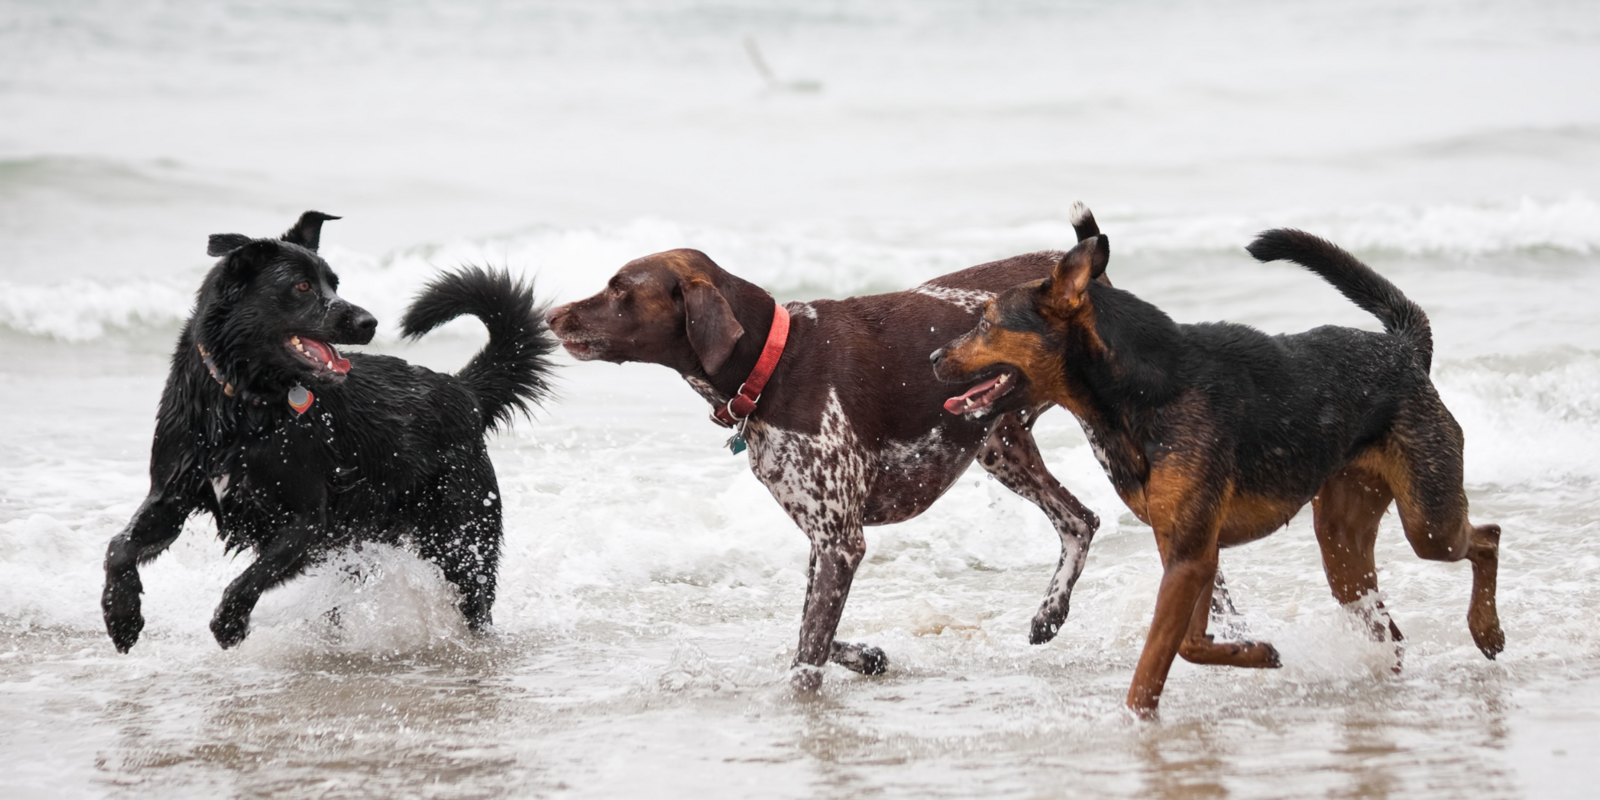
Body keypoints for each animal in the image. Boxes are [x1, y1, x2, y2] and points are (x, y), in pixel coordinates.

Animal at [103, 212, 556, 649]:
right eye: (302, 286)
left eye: (334, 284)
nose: (369, 321)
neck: (242, 403)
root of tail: (463, 390)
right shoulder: (171, 497)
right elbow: (118, 548)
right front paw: (121, 616)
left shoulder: (309, 523)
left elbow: (252, 576)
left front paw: (229, 623)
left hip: (462, 541)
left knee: (475, 599)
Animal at [550, 211, 1113, 688]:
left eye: (620, 288)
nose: (553, 313)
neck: (773, 362)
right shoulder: (823, 542)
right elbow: (811, 633)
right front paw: (866, 655)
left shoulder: (841, 541)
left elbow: (806, 656)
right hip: (1000, 446)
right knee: (1079, 520)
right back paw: (1049, 614)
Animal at [934, 214, 1504, 720]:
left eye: (986, 322)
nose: (935, 357)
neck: (1141, 389)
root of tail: (1406, 349)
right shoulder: (1189, 549)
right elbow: (1189, 641)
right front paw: (1254, 653)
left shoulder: (1189, 555)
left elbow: (1154, 662)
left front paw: (1138, 722)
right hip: (1343, 543)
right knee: (1390, 625)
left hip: (1427, 521)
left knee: (1487, 537)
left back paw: (1486, 631)